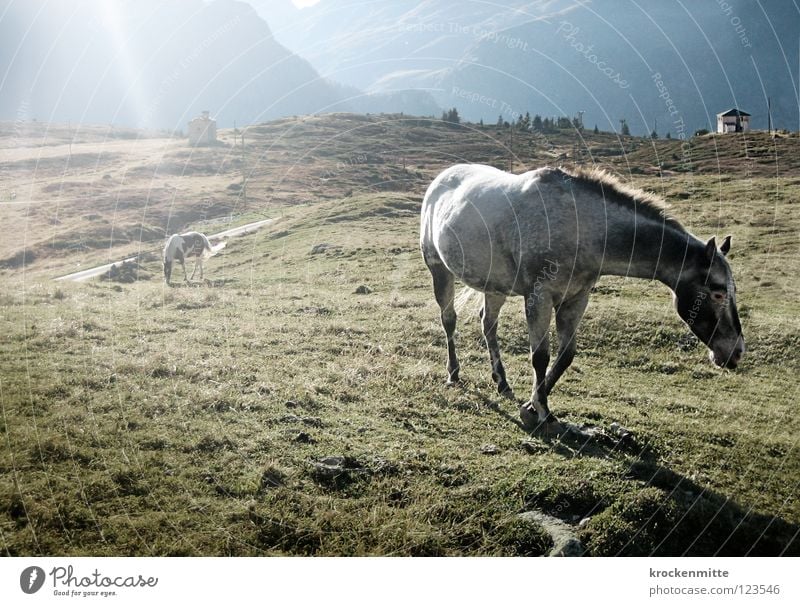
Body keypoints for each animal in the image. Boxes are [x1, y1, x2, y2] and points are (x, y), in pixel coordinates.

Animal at [422, 165, 748, 432]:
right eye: (717, 291)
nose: (736, 352)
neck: (582, 229)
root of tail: (440, 179)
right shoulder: (539, 297)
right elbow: (540, 356)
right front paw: (540, 410)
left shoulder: (576, 299)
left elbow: (566, 356)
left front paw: (533, 404)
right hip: (440, 270)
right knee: (449, 321)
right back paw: (453, 374)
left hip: (495, 286)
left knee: (488, 325)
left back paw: (501, 382)